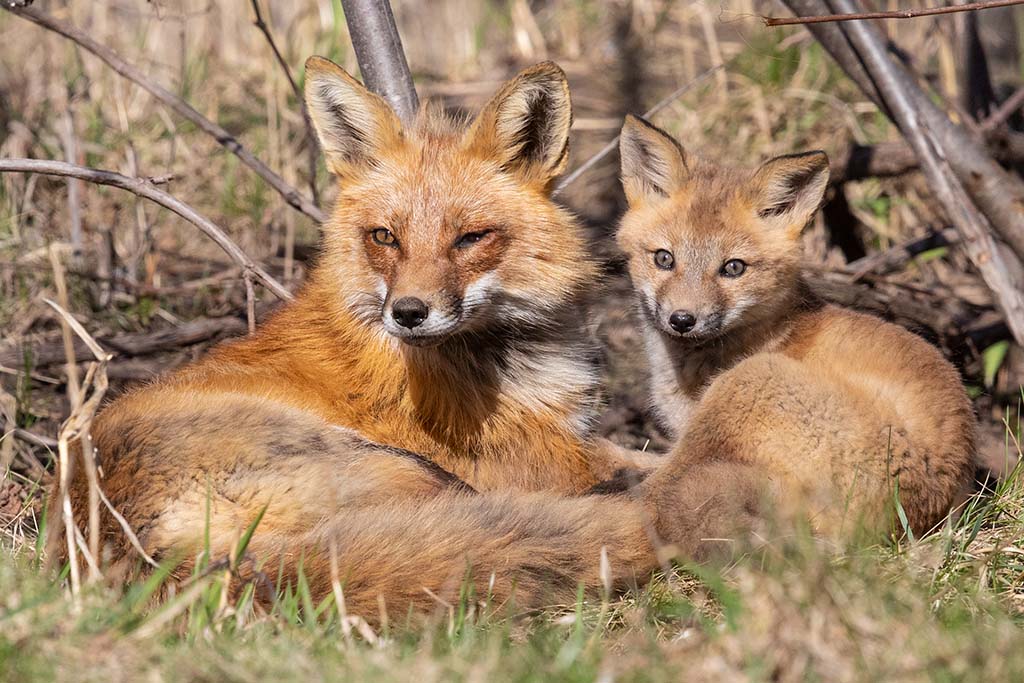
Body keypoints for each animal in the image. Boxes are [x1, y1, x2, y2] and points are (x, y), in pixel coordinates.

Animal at [49, 60, 753, 614]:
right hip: (410, 473)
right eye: (384, 237)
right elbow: (647, 468)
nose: (408, 313)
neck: (508, 353)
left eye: (470, 238)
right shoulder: (539, 461)